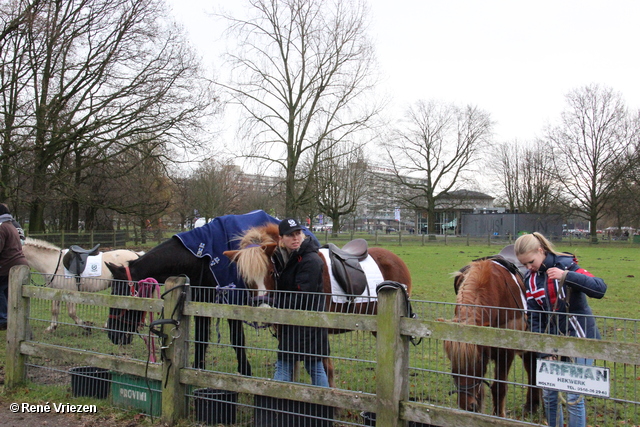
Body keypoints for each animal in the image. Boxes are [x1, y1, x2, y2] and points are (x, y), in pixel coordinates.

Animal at [444, 258, 540, 418]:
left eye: (479, 361)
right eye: (452, 360)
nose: (466, 405)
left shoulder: (505, 353)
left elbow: (499, 387)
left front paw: (498, 416)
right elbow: (481, 391)